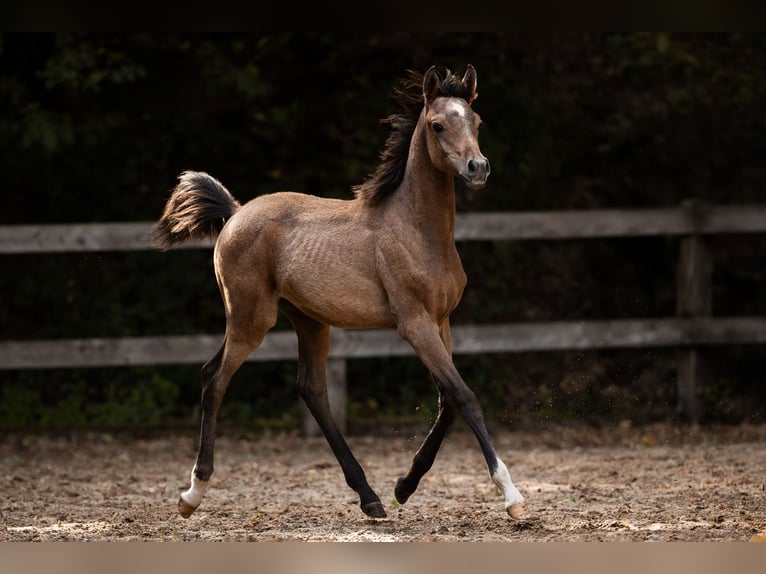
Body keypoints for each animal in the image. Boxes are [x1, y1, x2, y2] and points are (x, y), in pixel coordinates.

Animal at [150, 64, 529, 521]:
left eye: (477, 121)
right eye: (437, 124)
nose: (478, 168)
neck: (418, 231)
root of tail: (236, 213)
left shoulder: (442, 321)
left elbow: (448, 402)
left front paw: (404, 486)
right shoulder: (414, 323)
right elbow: (465, 397)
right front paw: (512, 496)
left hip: (307, 320)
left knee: (308, 389)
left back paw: (370, 496)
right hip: (250, 318)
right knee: (215, 380)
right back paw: (192, 493)